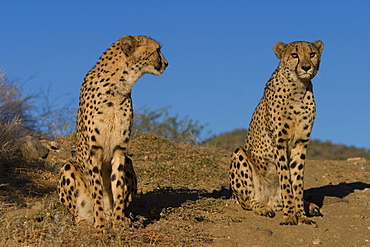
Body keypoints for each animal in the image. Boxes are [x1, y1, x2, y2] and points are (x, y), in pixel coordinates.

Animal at [57, 34, 168, 230]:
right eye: (157, 50)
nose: (167, 63)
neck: (118, 88)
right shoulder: (94, 151)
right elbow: (97, 190)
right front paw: (101, 226)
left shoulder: (119, 150)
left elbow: (118, 186)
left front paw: (118, 223)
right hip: (68, 166)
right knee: (78, 213)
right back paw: (87, 221)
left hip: (129, 161)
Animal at [230, 39, 326, 225]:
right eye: (294, 55)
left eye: (312, 54)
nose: (306, 67)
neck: (298, 88)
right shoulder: (280, 143)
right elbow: (286, 181)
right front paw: (289, 216)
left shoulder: (300, 143)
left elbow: (297, 182)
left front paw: (301, 215)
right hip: (239, 154)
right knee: (248, 202)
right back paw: (263, 207)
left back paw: (309, 206)